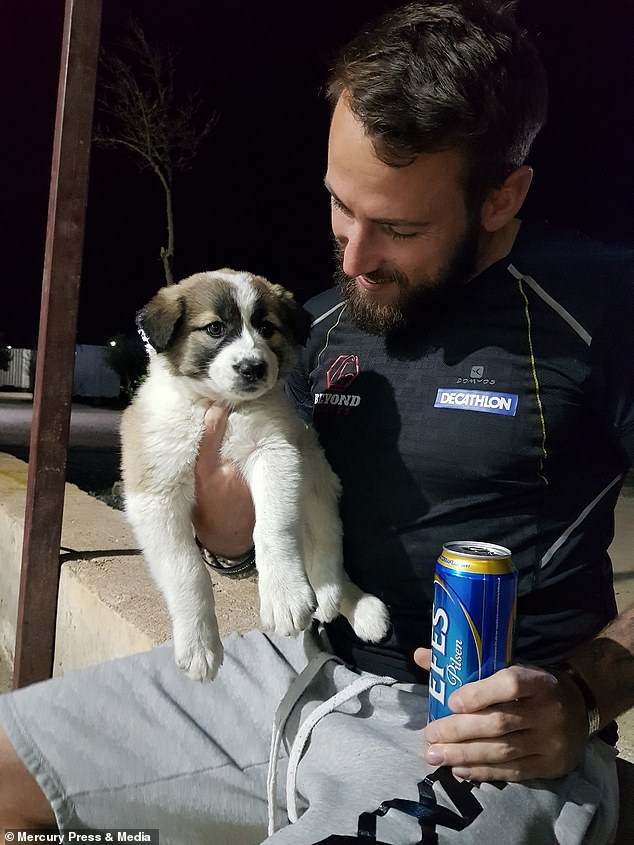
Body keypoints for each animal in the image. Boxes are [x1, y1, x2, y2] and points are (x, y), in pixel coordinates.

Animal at [120, 269, 390, 681]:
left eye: (267, 328)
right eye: (215, 328)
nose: (253, 367)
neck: (220, 405)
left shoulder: (275, 453)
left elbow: (273, 529)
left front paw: (284, 596)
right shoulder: (156, 489)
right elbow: (186, 569)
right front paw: (198, 642)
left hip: (314, 471)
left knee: (325, 539)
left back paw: (339, 597)